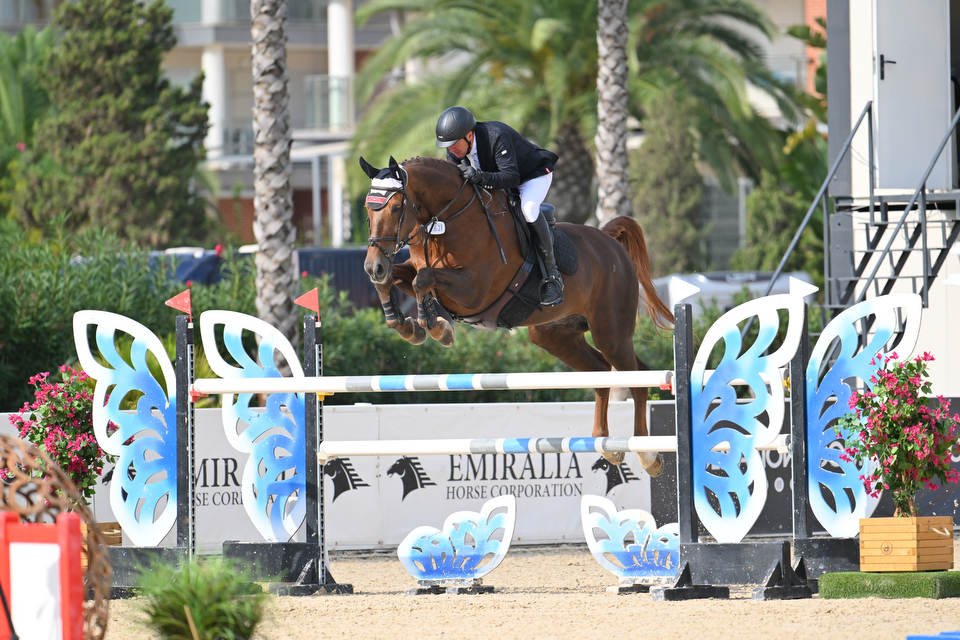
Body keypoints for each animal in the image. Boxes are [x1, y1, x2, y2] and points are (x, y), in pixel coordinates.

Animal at [359, 156, 674, 476]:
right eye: (367, 210)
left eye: (396, 208)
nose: (373, 265)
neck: (447, 221)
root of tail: (609, 242)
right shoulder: (417, 270)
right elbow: (399, 279)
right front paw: (409, 325)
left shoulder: (474, 290)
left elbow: (422, 279)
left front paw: (434, 326)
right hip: (553, 335)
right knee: (600, 370)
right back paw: (605, 444)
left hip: (611, 333)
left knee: (638, 376)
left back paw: (648, 455)